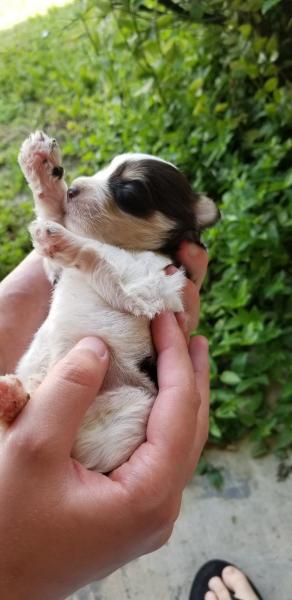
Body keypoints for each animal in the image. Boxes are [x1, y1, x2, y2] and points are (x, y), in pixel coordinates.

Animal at [0, 132, 219, 474]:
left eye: (129, 192)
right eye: (104, 168)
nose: (73, 188)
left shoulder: (148, 286)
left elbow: (98, 252)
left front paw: (60, 239)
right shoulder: (58, 273)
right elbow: (55, 215)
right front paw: (41, 165)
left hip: (132, 408)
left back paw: (10, 398)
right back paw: (12, 396)